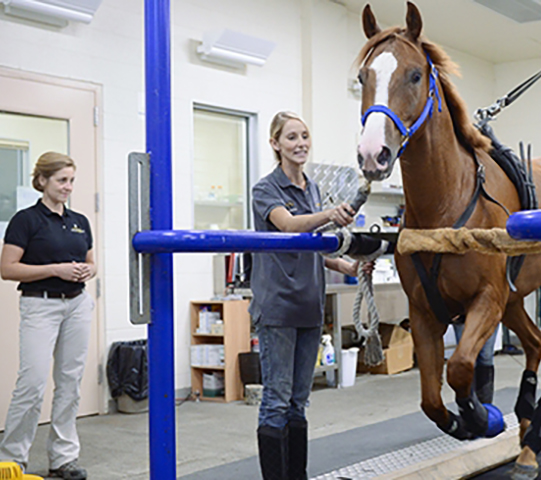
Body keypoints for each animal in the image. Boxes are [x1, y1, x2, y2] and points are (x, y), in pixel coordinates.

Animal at [356, 1, 540, 440]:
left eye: (414, 75)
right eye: (362, 77)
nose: (373, 154)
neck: (444, 206)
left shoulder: (487, 300)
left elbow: (459, 368)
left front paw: (478, 415)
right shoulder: (426, 313)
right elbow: (431, 399)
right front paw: (463, 420)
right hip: (514, 302)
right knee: (535, 344)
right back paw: (526, 410)